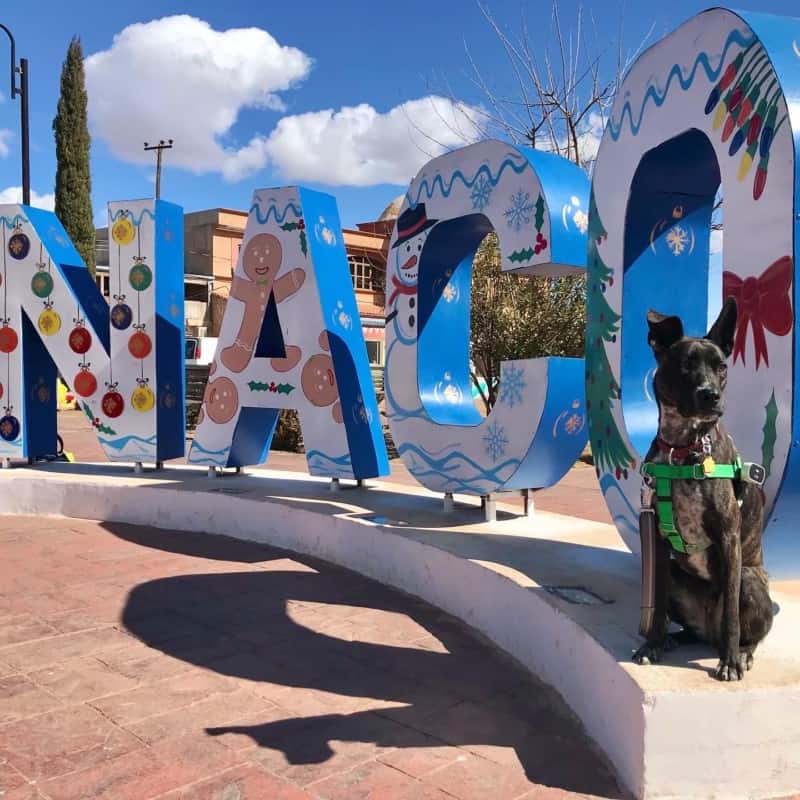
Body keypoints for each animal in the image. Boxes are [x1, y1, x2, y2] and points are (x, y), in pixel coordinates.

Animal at [636, 296, 772, 684]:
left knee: (746, 631)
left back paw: (740, 653)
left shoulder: (728, 536)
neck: (684, 449)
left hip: (748, 579)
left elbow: (732, 618)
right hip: (677, 574)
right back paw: (676, 638)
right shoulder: (657, 539)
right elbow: (656, 602)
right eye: (685, 365)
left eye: (721, 366)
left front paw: (730, 663)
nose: (710, 395)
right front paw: (652, 643)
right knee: (688, 625)